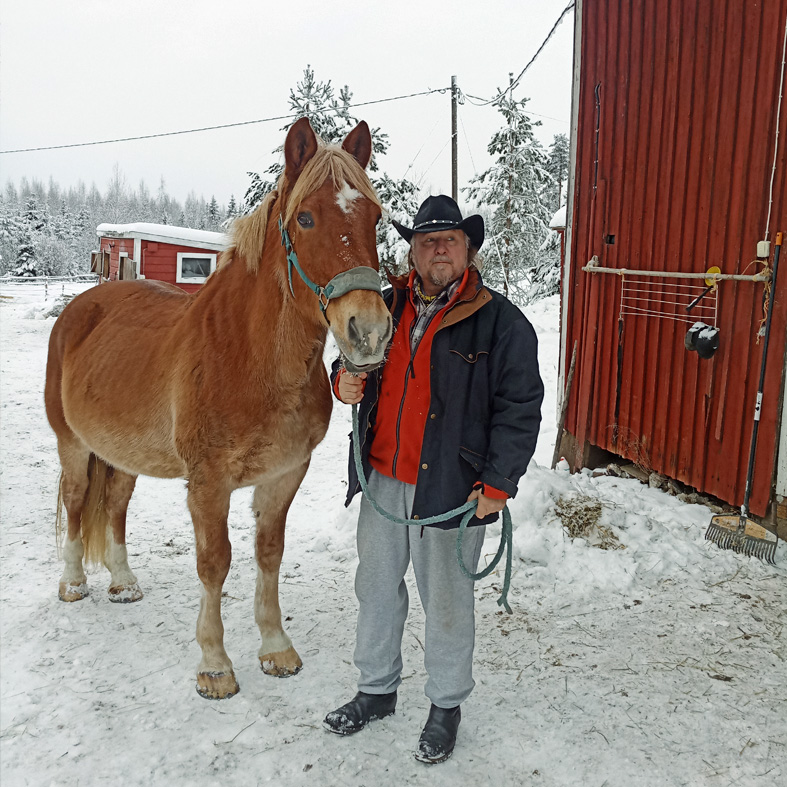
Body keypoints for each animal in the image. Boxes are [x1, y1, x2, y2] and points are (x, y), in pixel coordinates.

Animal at [41, 118, 392, 700]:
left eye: (376, 216)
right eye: (305, 217)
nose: (369, 331)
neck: (247, 358)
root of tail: (81, 307)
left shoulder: (284, 475)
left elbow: (269, 553)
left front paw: (276, 648)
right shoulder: (208, 482)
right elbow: (214, 563)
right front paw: (215, 664)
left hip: (124, 455)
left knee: (114, 504)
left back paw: (123, 582)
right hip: (73, 443)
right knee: (74, 500)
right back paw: (73, 582)